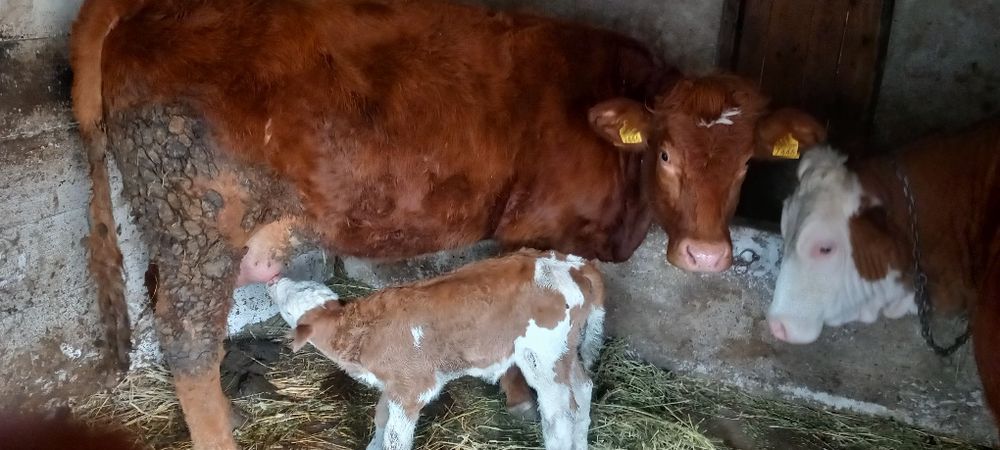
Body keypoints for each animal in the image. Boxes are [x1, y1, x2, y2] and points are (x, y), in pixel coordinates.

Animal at [268, 249, 605, 450]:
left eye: (288, 302)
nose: (273, 280)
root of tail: (573, 263)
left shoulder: (411, 389)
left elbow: (395, 437)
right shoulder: (392, 387)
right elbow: (380, 421)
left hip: (542, 356)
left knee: (559, 414)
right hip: (565, 350)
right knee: (583, 388)